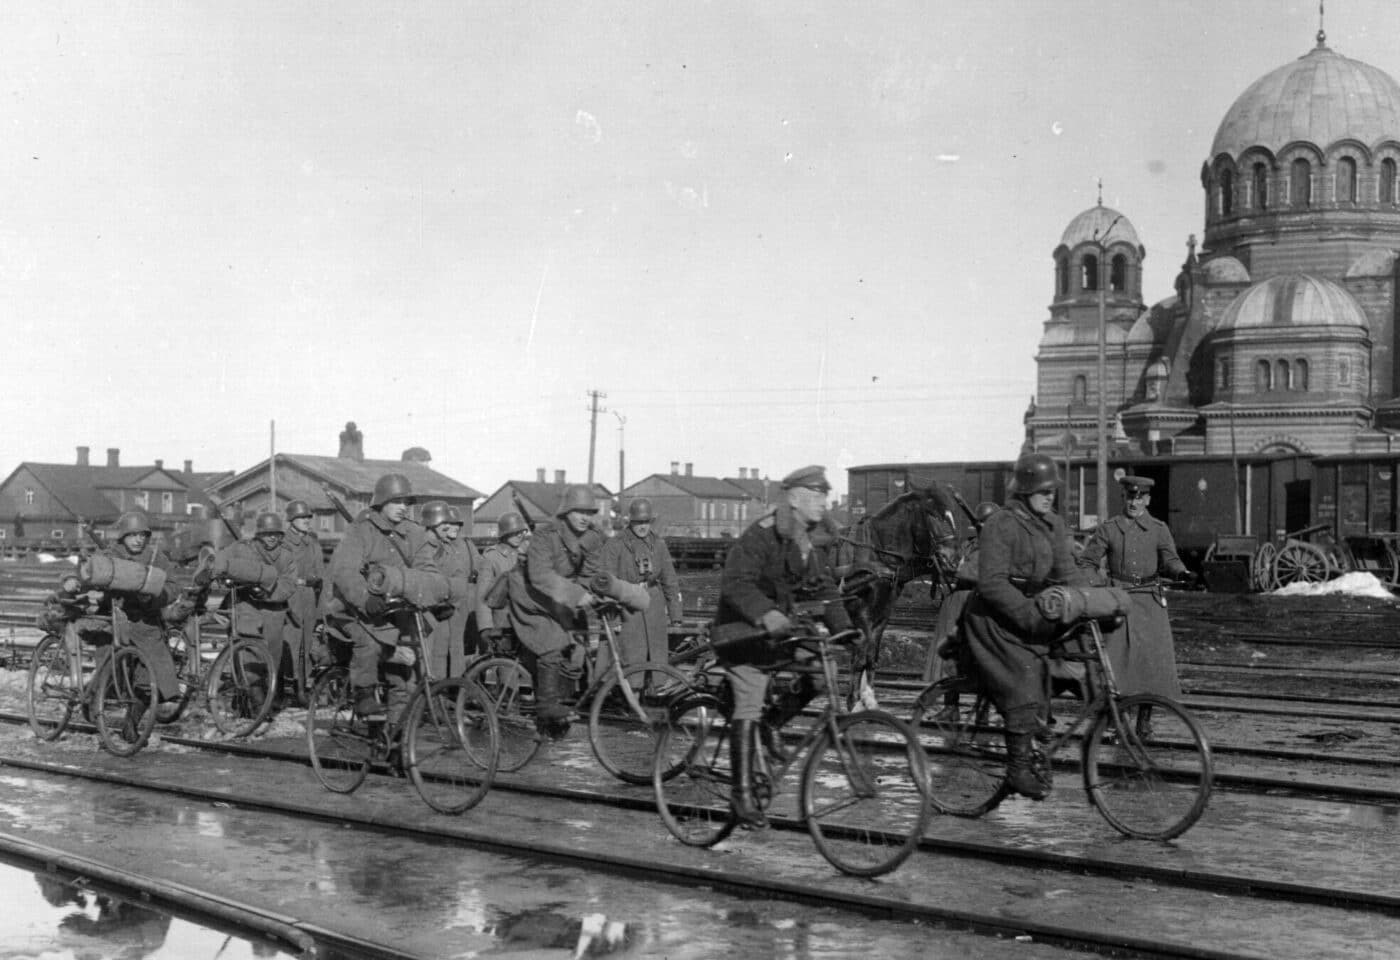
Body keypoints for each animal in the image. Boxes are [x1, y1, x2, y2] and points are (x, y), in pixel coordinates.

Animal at [828, 484, 963, 710]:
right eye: (931, 514)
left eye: (952, 514)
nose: (954, 558)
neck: (876, 555)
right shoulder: (860, 612)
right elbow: (859, 658)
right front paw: (854, 702)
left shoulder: (883, 614)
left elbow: (871, 657)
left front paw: (868, 699)